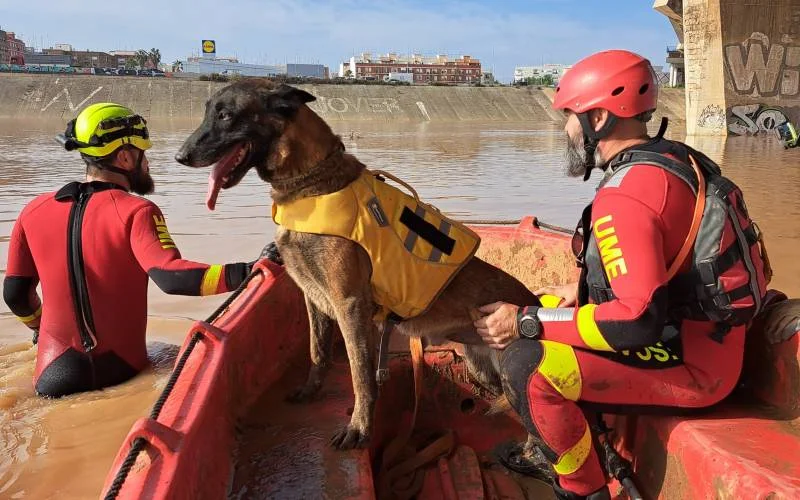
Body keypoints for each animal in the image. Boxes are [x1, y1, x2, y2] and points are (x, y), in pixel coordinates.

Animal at [175, 81, 536, 450]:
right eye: (208, 110)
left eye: (225, 114)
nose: (181, 156)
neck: (310, 183)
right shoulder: (314, 297)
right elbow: (317, 350)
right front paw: (311, 390)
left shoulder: (349, 305)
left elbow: (360, 374)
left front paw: (358, 428)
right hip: (480, 367)